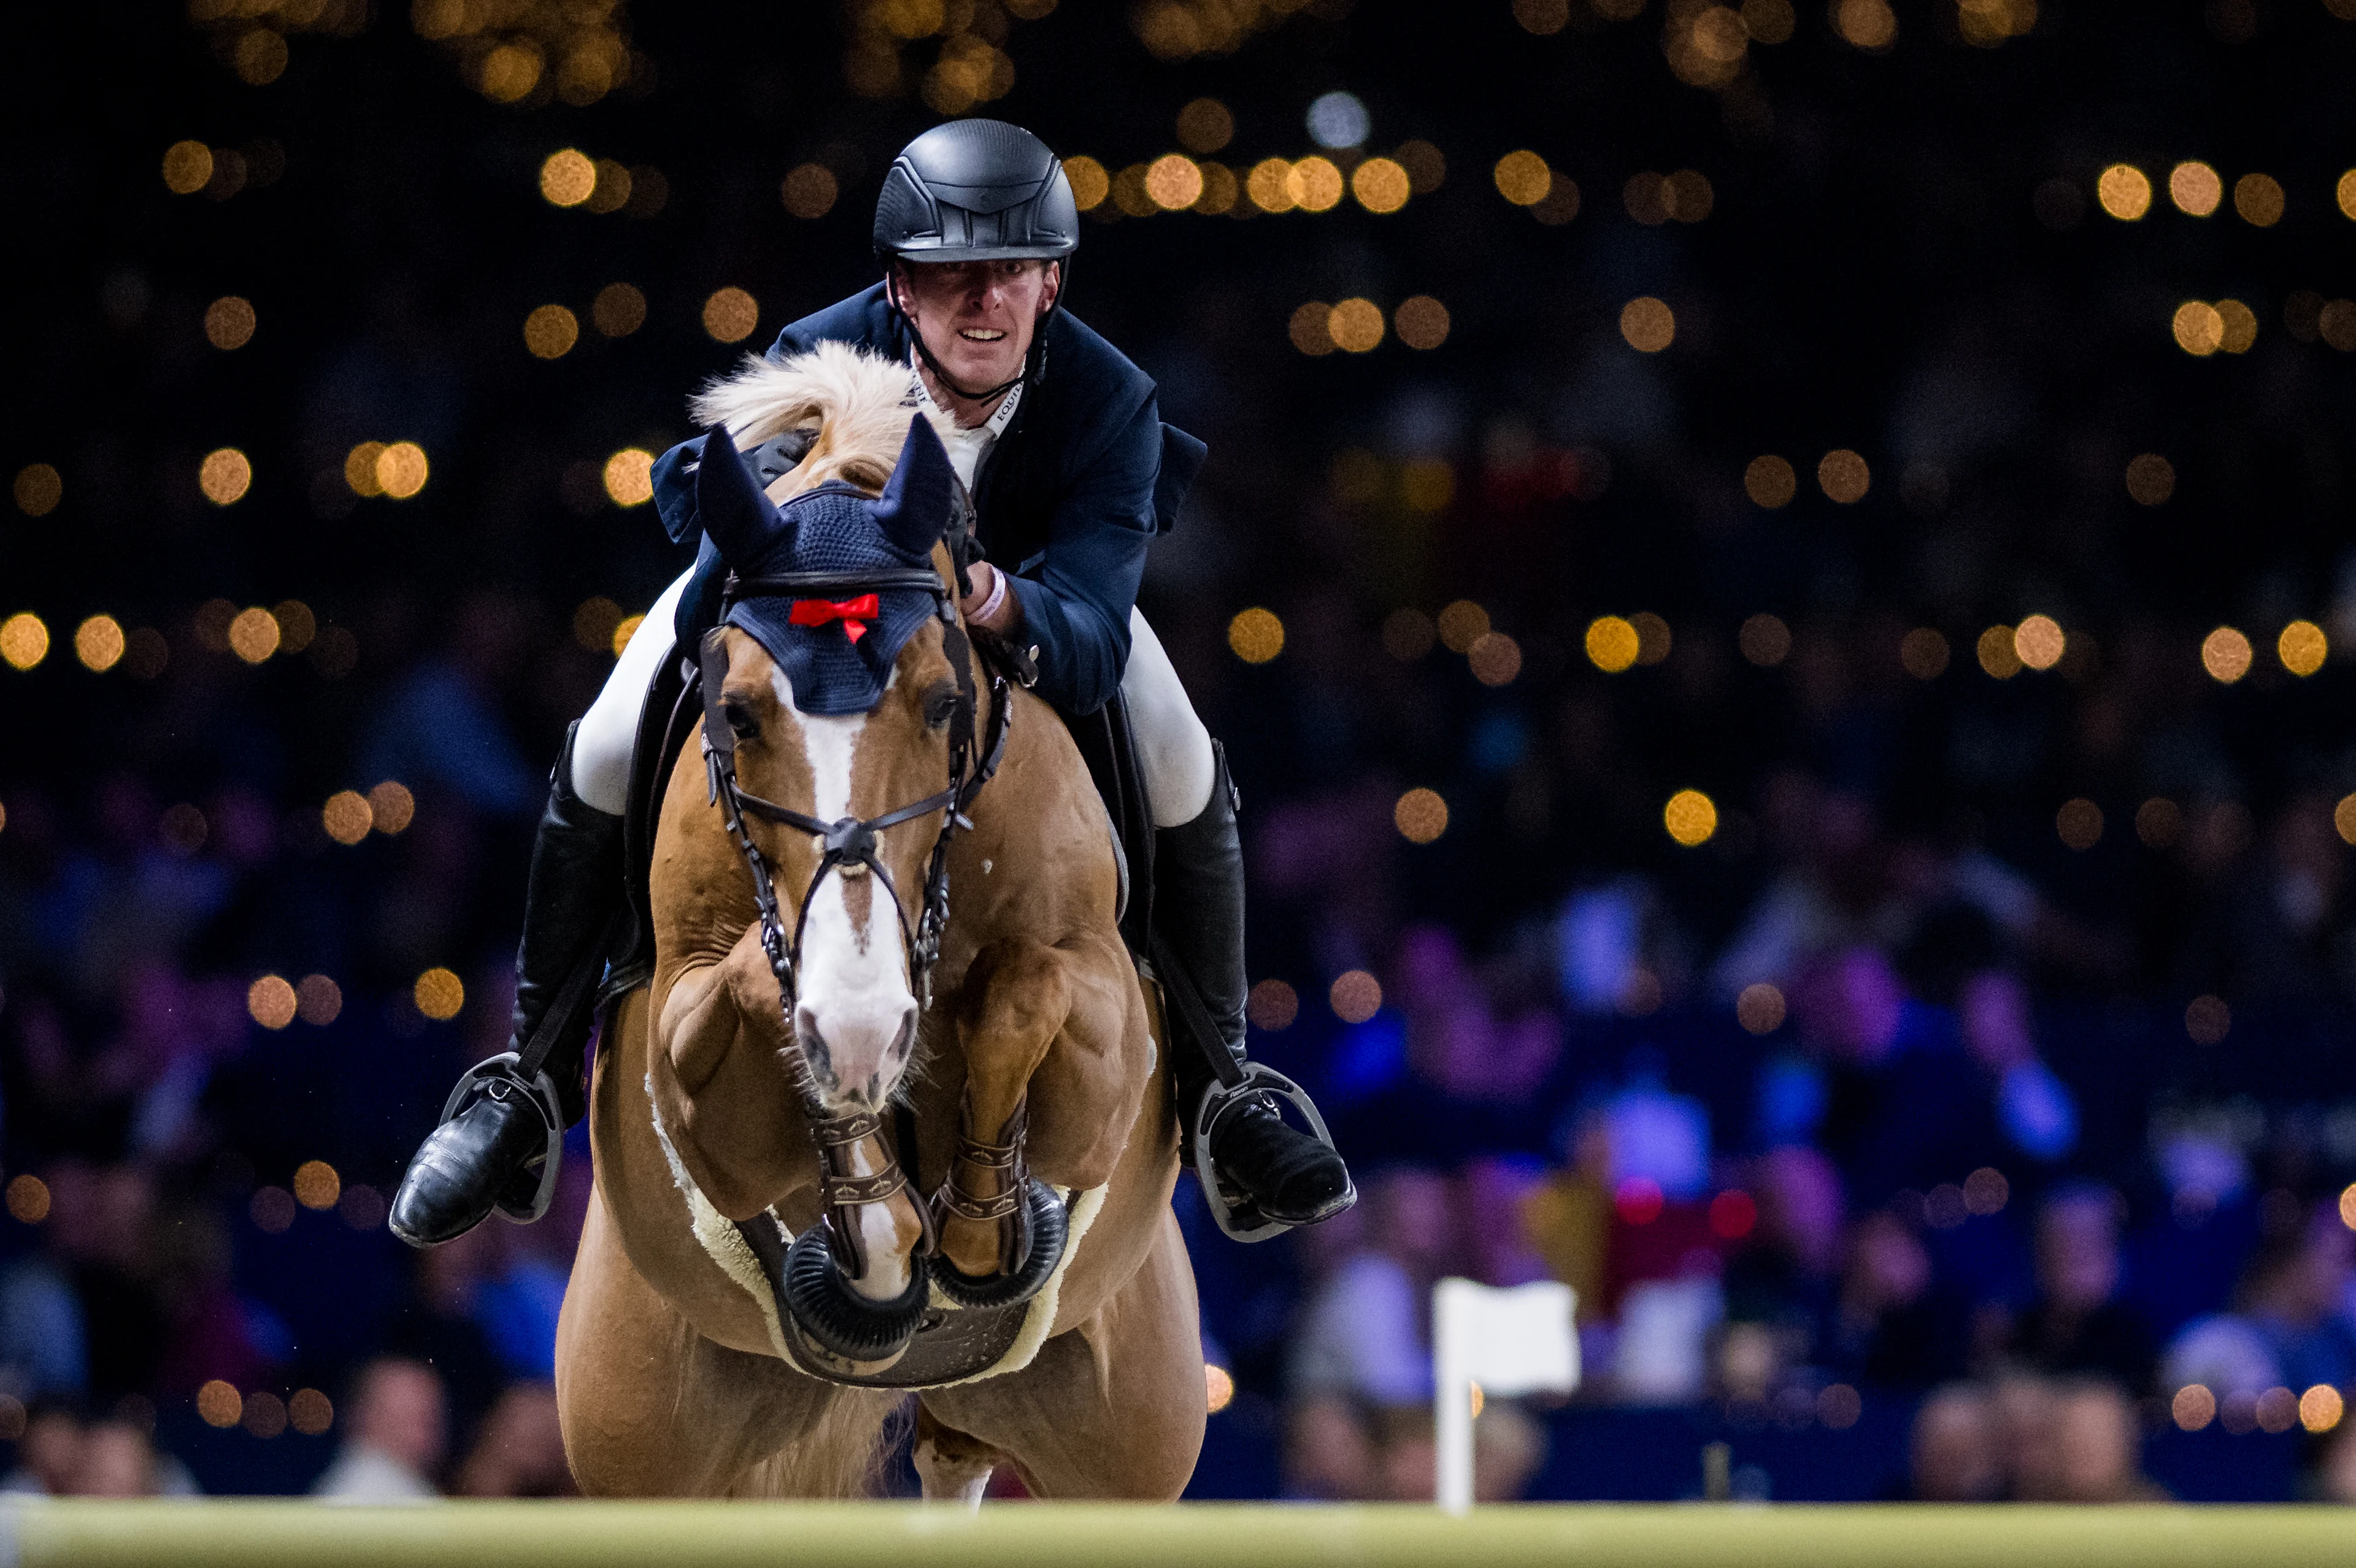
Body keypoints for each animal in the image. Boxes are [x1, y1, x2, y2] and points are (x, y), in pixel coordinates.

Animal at [551, 346, 1206, 1507]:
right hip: (642, 1433)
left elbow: (1024, 991)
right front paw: (878, 1217)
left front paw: (981, 1231)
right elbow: (758, 997)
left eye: (946, 704)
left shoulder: (1105, 1049)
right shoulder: (688, 1048)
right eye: (738, 714)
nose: (861, 1027)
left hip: (1131, 1433)